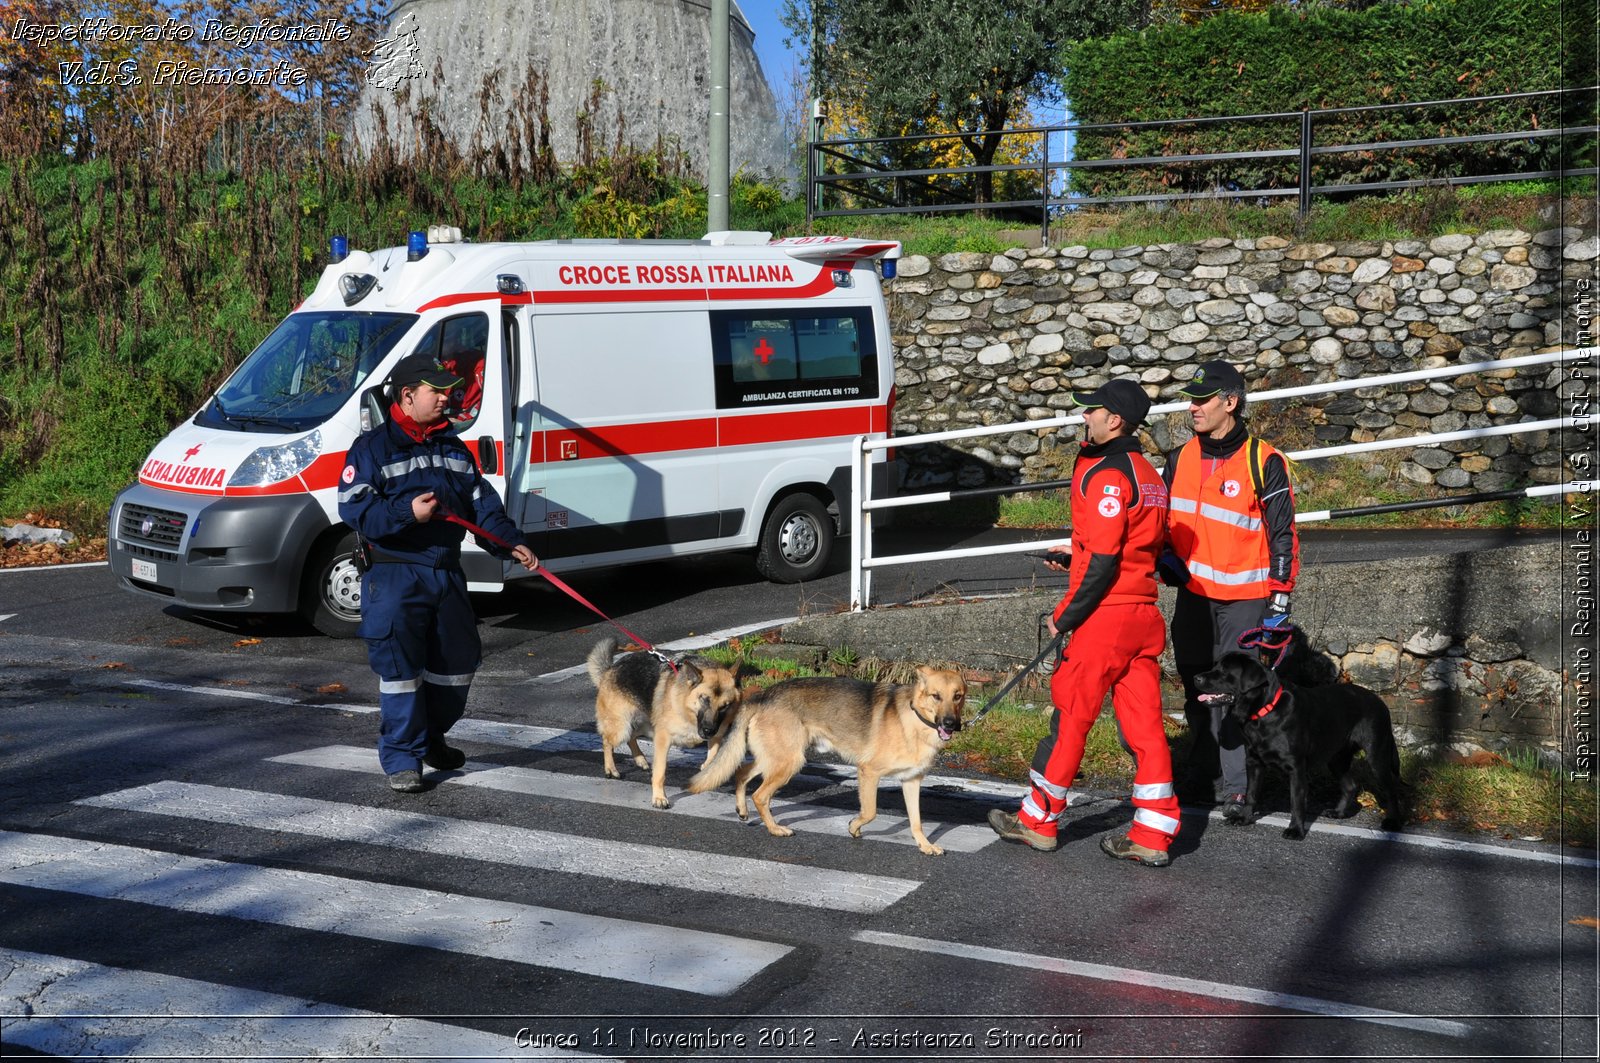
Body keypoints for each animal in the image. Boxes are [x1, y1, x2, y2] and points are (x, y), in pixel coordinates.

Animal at [585, 640, 739, 806]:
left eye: (725, 706)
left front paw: (707, 770)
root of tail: (609, 670)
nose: (708, 731)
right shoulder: (662, 740)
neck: (686, 709)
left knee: (631, 737)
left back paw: (640, 759)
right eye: (704, 699)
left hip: (644, 725)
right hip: (622, 728)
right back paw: (610, 768)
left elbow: (713, 755)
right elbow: (660, 772)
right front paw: (659, 797)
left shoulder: (717, 734)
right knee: (607, 741)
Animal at [684, 672, 960, 858]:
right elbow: (869, 812)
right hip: (789, 762)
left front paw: (925, 845)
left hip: (775, 759)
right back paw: (775, 829)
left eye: (958, 697)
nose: (951, 724)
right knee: (760, 796)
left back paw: (742, 811)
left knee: (741, 773)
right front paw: (853, 828)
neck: (915, 719)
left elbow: (916, 821)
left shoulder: (911, 781)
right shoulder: (868, 772)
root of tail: (763, 695)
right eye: (936, 696)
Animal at [1196, 646, 1408, 838]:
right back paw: (1338, 812)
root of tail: (1381, 702)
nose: (1196, 678)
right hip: (1336, 759)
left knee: (1391, 789)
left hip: (1376, 756)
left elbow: (1296, 801)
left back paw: (1393, 822)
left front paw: (1296, 830)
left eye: (1225, 671)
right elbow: (1251, 794)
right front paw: (1244, 818)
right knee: (1350, 785)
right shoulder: (1254, 762)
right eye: (1215, 666)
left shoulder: (1296, 767)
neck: (1265, 710)